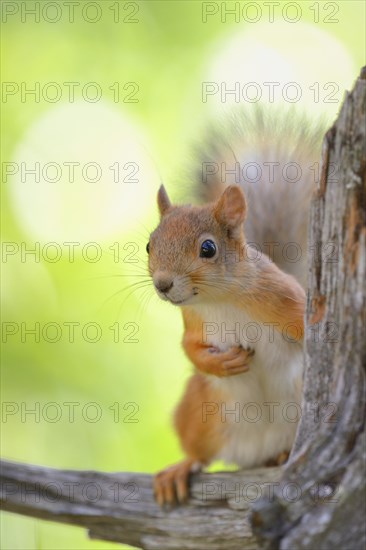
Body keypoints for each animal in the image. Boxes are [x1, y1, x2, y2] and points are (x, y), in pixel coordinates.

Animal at [146, 113, 324, 508]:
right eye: (149, 244)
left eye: (208, 248)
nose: (163, 284)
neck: (220, 300)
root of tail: (252, 453)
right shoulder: (193, 321)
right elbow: (190, 348)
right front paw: (221, 362)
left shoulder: (283, 298)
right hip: (200, 412)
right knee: (199, 452)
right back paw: (181, 468)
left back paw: (281, 455)